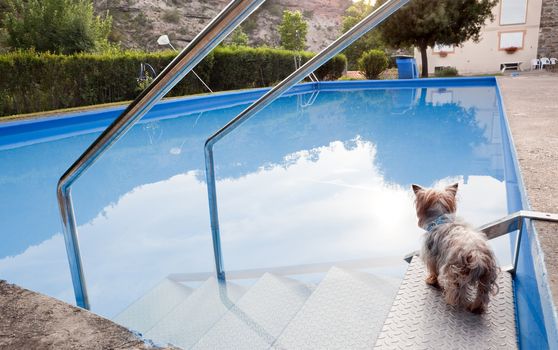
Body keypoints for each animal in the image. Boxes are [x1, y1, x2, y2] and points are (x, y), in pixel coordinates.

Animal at [414, 183, 500, 314]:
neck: (440, 218)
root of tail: (477, 255)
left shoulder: (431, 256)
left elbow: (433, 270)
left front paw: (431, 280)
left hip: (454, 271)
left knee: (456, 292)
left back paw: (450, 300)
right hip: (487, 275)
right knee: (482, 294)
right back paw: (476, 307)